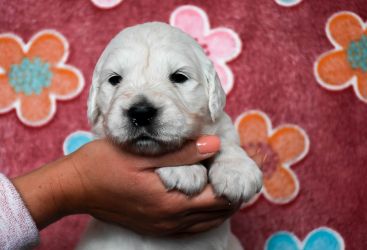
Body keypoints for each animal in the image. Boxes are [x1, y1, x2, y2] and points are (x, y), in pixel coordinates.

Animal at [77, 22, 262, 250]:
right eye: (114, 79)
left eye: (179, 77)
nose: (141, 112)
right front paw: (183, 169)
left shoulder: (219, 123)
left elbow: (224, 140)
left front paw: (237, 171)